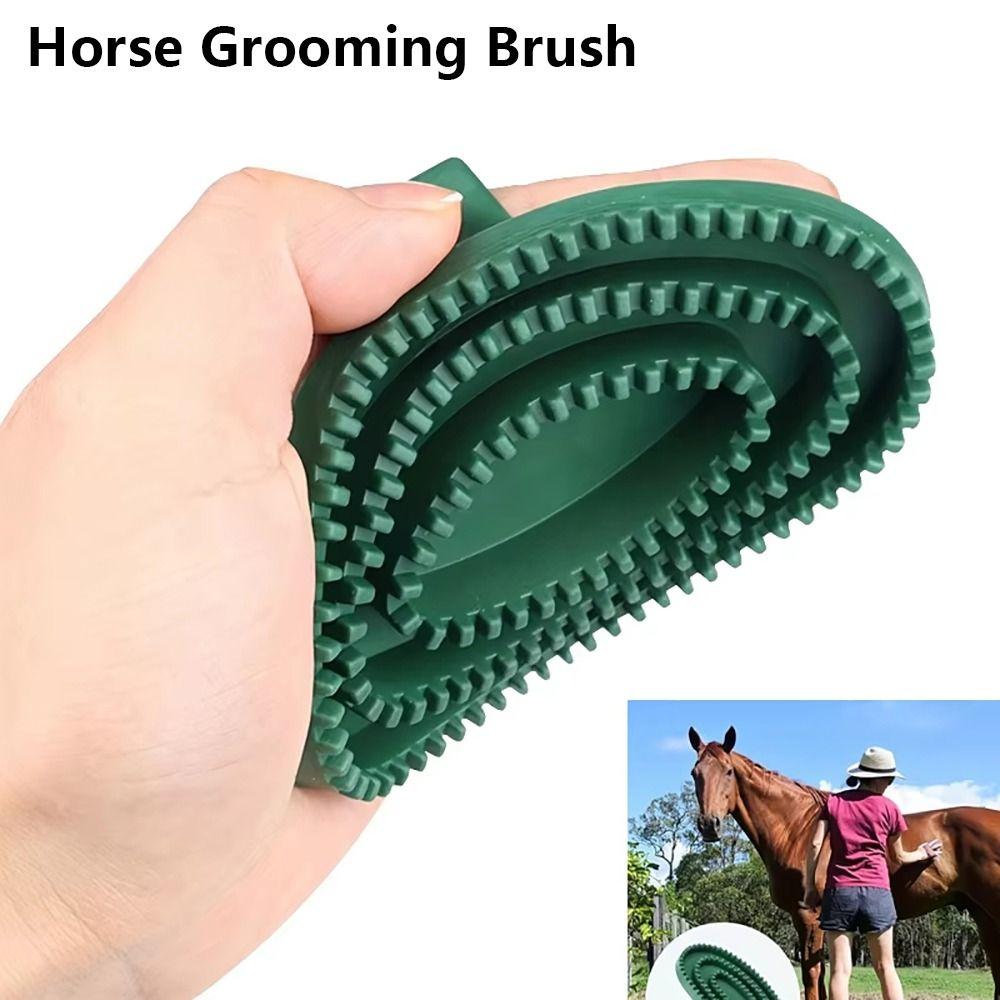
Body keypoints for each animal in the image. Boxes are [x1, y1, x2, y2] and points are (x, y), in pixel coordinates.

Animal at [688, 726, 1000, 1000]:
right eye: (695, 773)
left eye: (728, 771)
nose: (709, 825)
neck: (796, 828)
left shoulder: (809, 917)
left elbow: (812, 976)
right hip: (983, 915)